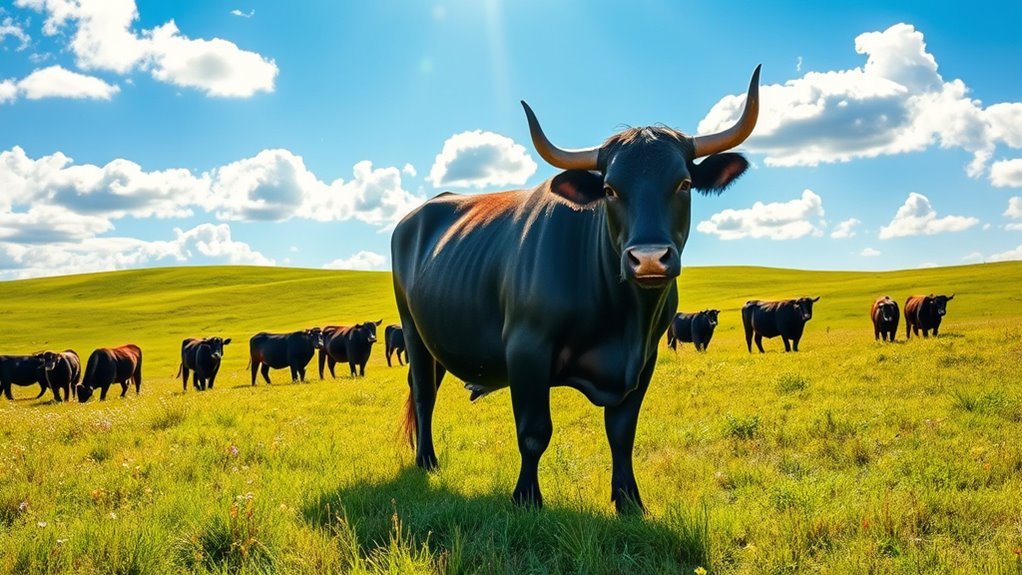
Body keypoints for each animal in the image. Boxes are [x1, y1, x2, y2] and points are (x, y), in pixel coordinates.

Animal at [391, 67, 761, 513]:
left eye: (684, 184)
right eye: (610, 189)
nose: (649, 259)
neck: (624, 320)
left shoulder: (646, 358)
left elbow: (622, 433)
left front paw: (628, 500)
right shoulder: (527, 349)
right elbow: (533, 431)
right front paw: (526, 498)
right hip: (412, 331)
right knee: (423, 393)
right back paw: (426, 461)